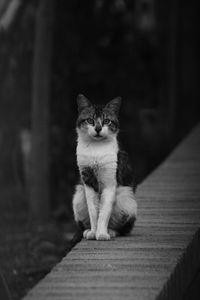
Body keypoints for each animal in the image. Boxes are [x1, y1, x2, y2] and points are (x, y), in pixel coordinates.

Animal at [72, 95, 137, 240]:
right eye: (90, 120)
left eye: (107, 121)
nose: (98, 129)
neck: (96, 148)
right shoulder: (87, 180)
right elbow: (93, 211)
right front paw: (93, 232)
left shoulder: (110, 182)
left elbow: (104, 211)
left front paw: (101, 234)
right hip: (78, 196)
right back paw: (87, 231)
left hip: (125, 196)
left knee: (123, 228)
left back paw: (111, 231)